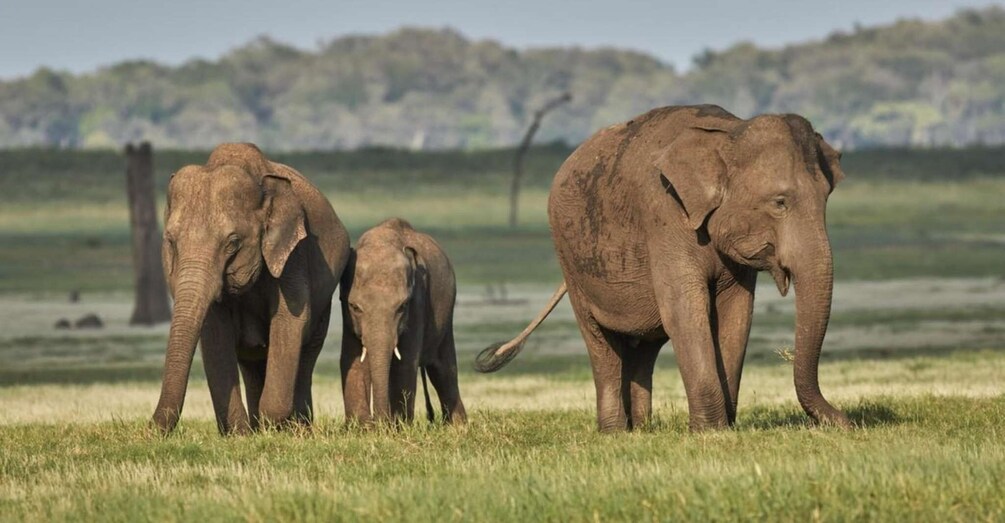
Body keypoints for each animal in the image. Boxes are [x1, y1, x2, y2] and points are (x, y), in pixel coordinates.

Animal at [151, 143, 350, 435]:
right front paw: (240, 434)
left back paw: (297, 429)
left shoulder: (294, 256)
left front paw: (274, 427)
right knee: (251, 362)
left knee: (306, 354)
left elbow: (291, 319)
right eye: (170, 241)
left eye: (232, 243)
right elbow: (215, 332)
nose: (151, 427)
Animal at [340, 218, 467, 425]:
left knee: (443, 369)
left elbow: (405, 362)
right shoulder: (346, 312)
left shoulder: (417, 300)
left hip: (447, 314)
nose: (379, 421)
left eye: (402, 306)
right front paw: (361, 426)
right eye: (355, 307)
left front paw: (397, 426)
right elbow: (353, 358)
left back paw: (457, 426)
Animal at [476, 105, 850, 432]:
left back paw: (642, 429)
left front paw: (725, 428)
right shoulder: (664, 216)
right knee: (600, 341)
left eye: (827, 198)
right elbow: (685, 311)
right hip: (571, 261)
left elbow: (737, 315)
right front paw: (709, 432)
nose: (846, 420)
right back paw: (614, 432)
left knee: (644, 347)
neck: (729, 131)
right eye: (780, 202)